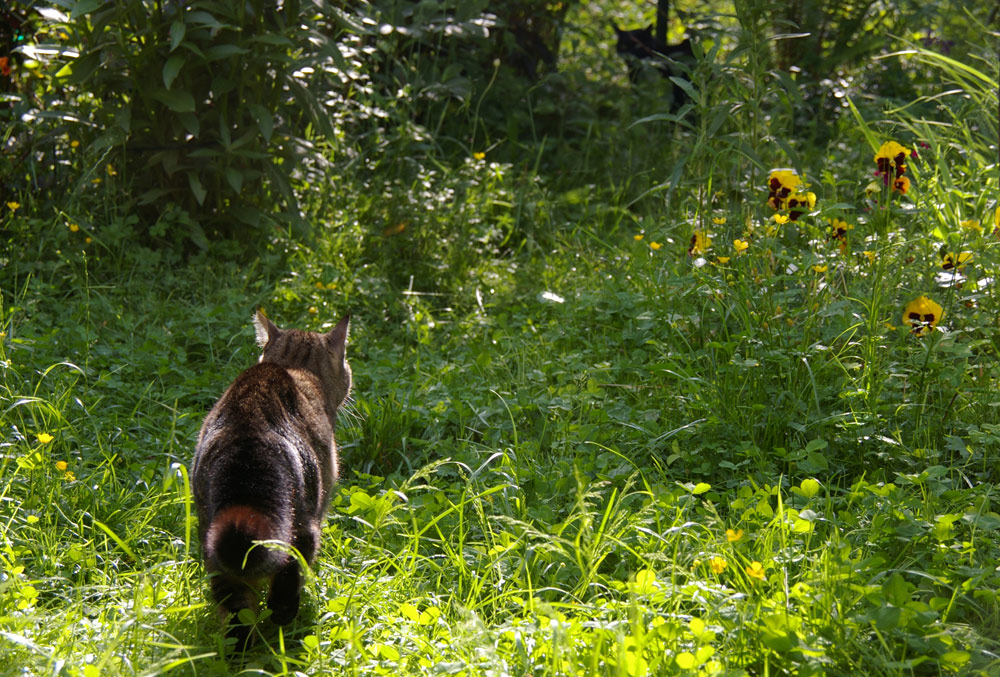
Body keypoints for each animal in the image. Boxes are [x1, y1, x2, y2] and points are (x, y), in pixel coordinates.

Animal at [191, 308, 352, 648]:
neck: (295, 368)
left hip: (212, 538)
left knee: (236, 613)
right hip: (303, 523)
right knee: (287, 581)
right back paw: (284, 625)